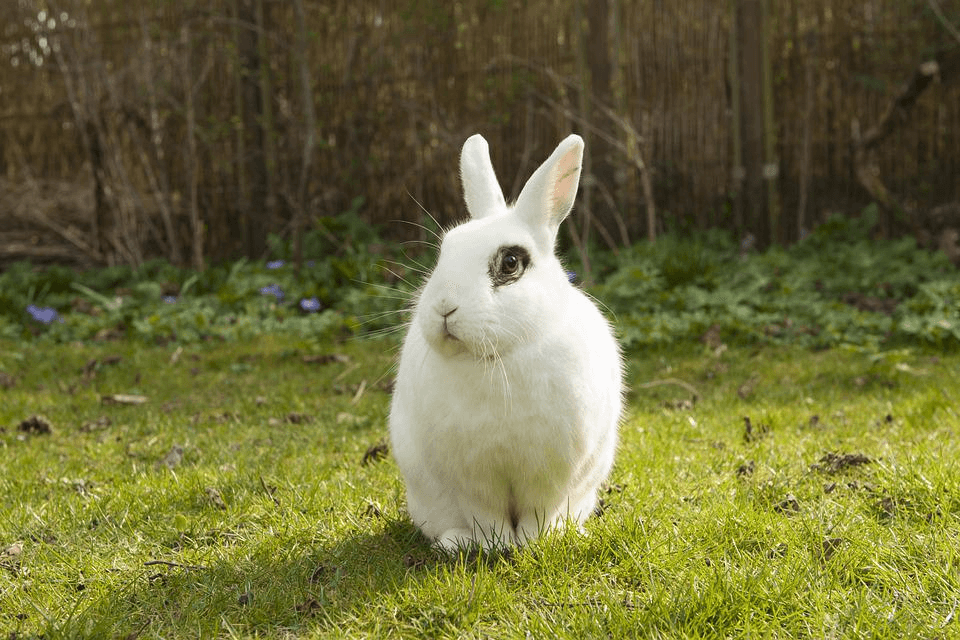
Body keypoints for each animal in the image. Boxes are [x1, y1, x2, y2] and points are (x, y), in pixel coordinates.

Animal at [390, 132, 624, 552]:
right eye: (444, 251)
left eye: (511, 262)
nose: (444, 307)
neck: (498, 357)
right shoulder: (471, 478)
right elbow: (486, 515)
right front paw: (495, 545)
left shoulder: (550, 474)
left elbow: (538, 512)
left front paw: (534, 543)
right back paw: (454, 542)